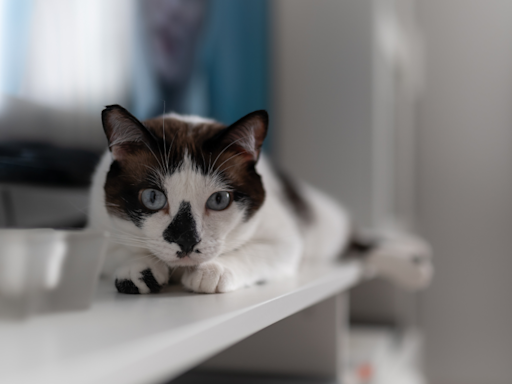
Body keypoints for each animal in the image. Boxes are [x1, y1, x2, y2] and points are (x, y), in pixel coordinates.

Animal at [88, 105, 432, 294]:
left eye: (219, 200)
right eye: (153, 197)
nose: (185, 241)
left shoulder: (288, 239)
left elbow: (255, 253)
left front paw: (211, 271)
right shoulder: (99, 225)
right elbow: (116, 250)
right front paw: (140, 269)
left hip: (326, 228)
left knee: (359, 245)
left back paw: (415, 265)